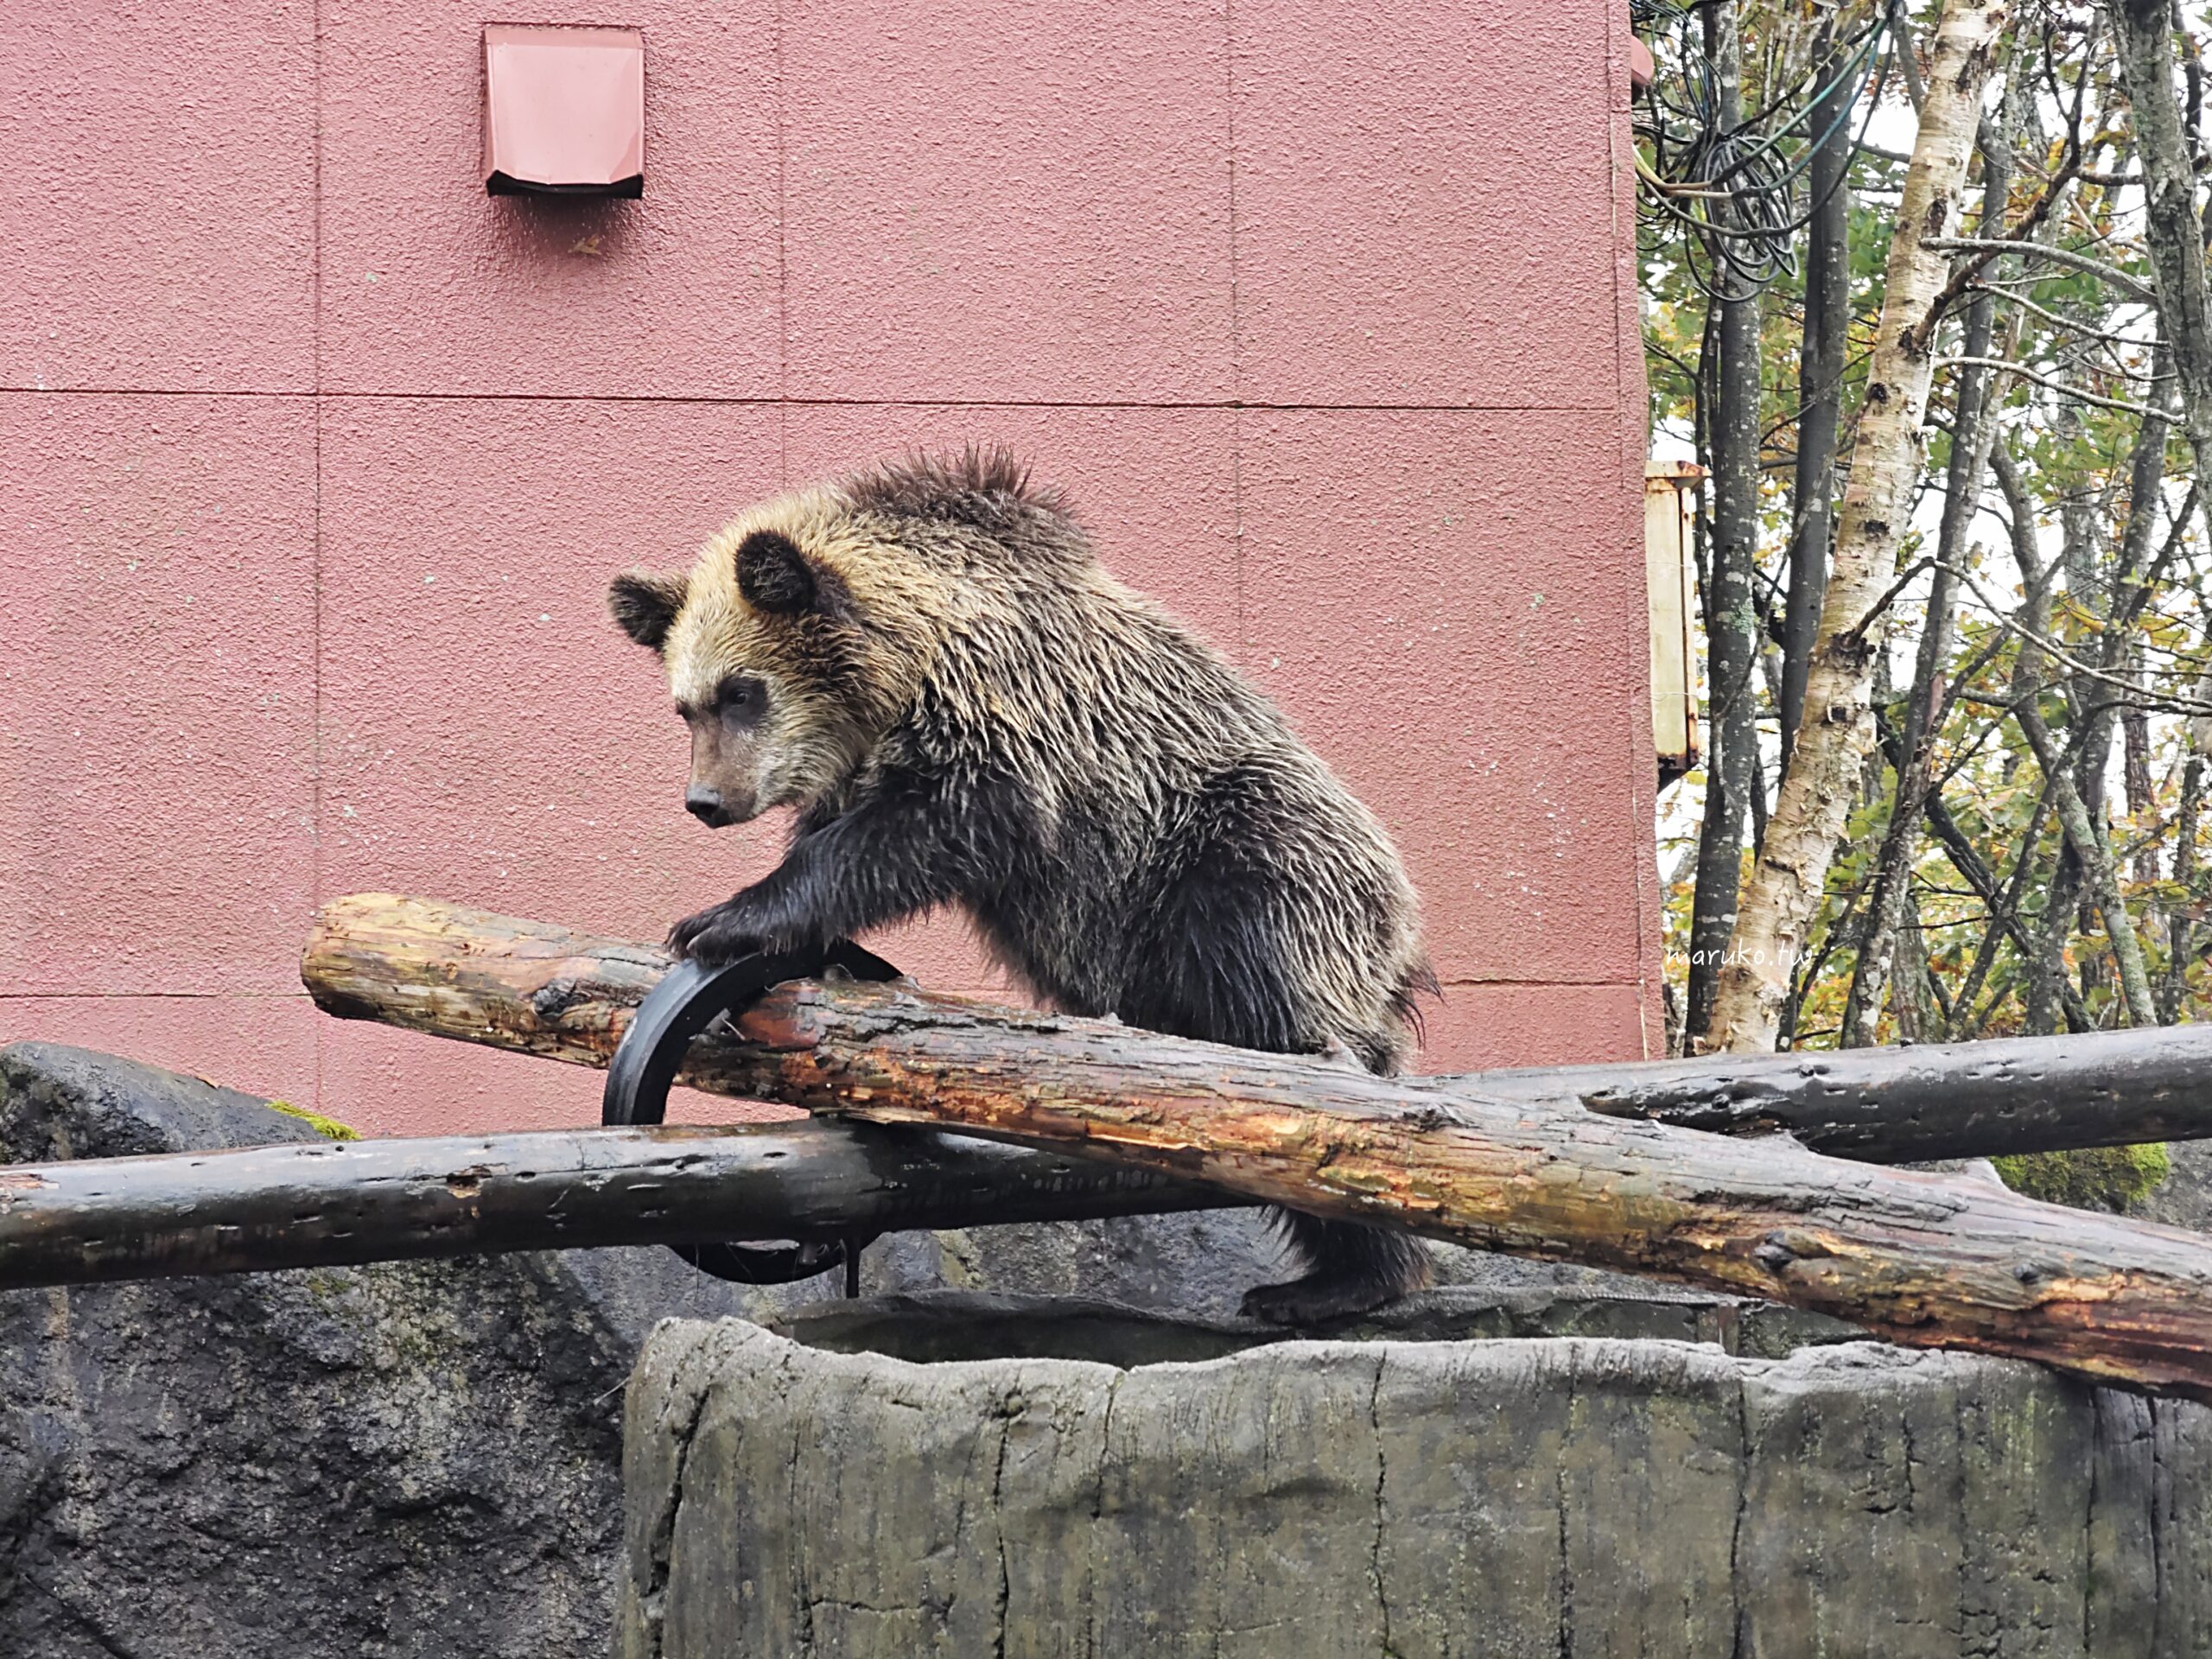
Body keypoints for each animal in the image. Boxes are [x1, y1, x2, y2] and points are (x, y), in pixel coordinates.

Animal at [608, 448, 1436, 1322]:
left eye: (742, 691)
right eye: (685, 706)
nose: (706, 801)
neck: (900, 675)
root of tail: (1405, 933)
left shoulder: (1010, 740)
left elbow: (909, 835)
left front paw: (723, 918)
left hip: (1236, 858)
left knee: (1288, 1030)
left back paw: (1343, 1277)